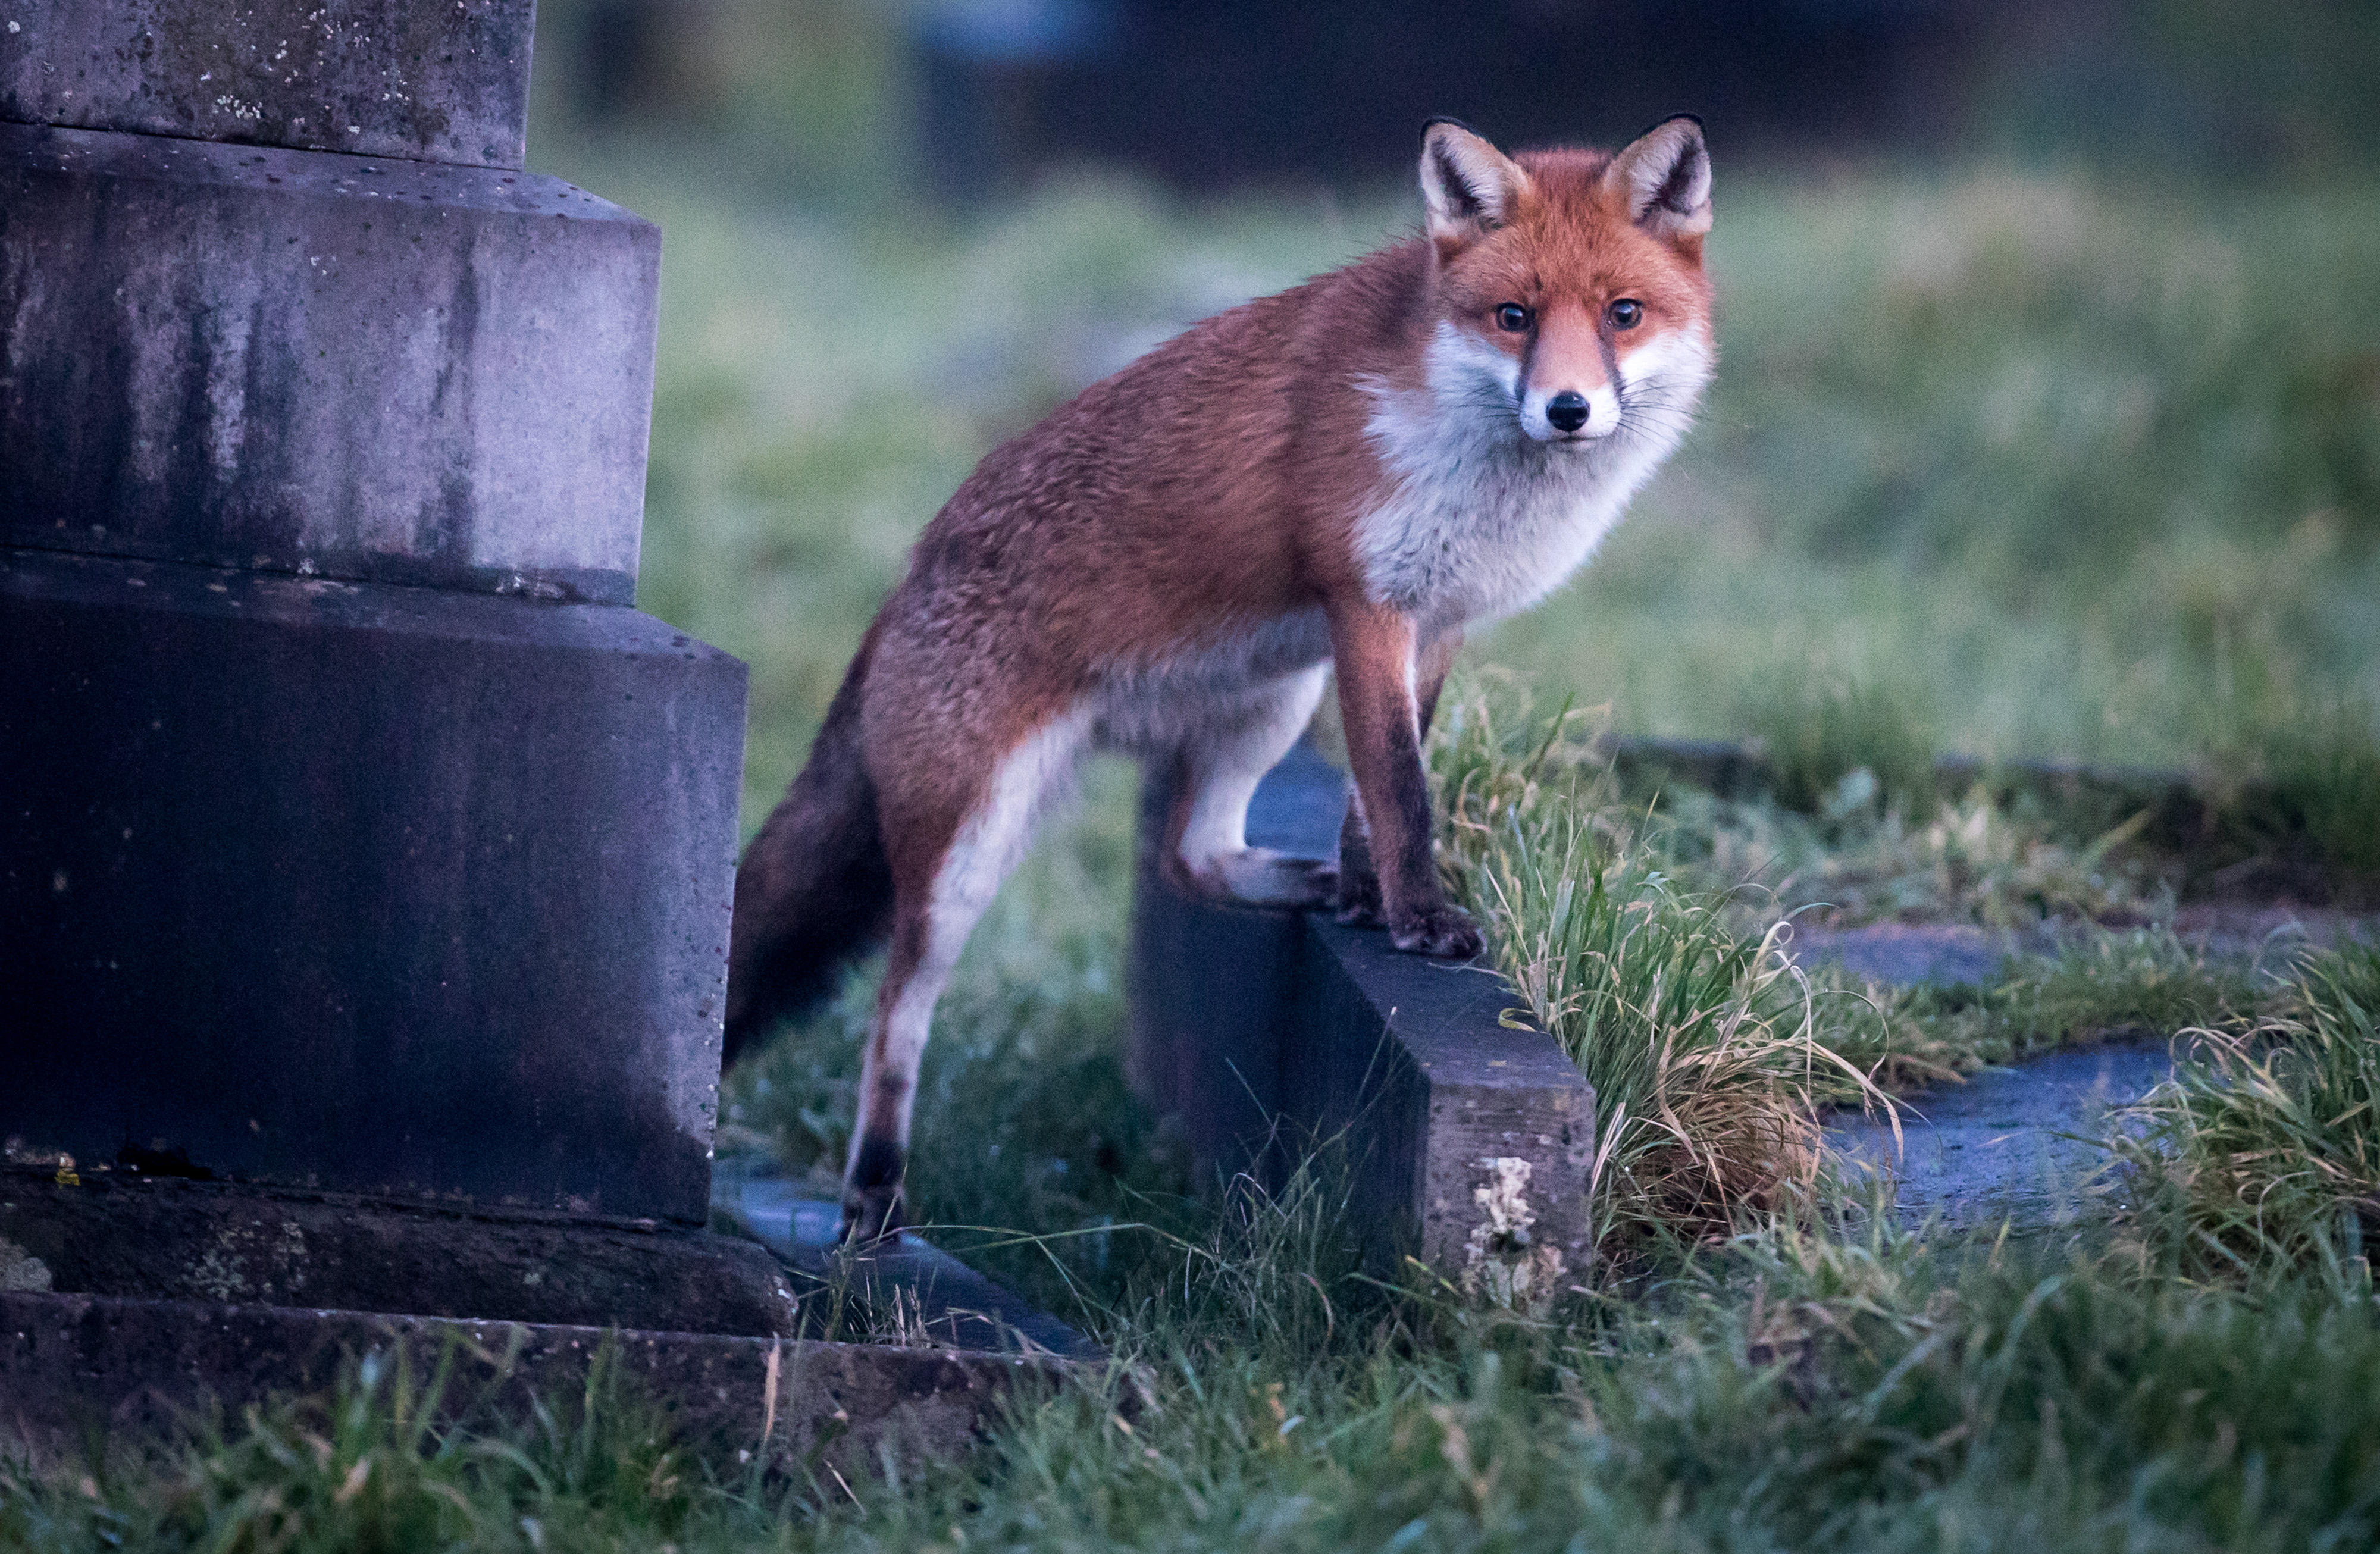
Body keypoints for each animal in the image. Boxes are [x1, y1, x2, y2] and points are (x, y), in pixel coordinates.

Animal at [719, 118, 1714, 1237]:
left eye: (1623, 315)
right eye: (1515, 317)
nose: (1569, 408)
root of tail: (904, 579)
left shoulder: (1441, 621)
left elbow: (1380, 796)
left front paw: (1373, 904)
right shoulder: (1365, 605)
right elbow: (1400, 786)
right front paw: (1419, 918)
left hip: (1269, 705)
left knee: (1188, 858)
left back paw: (1298, 881)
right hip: (967, 842)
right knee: (900, 1005)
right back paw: (874, 1191)